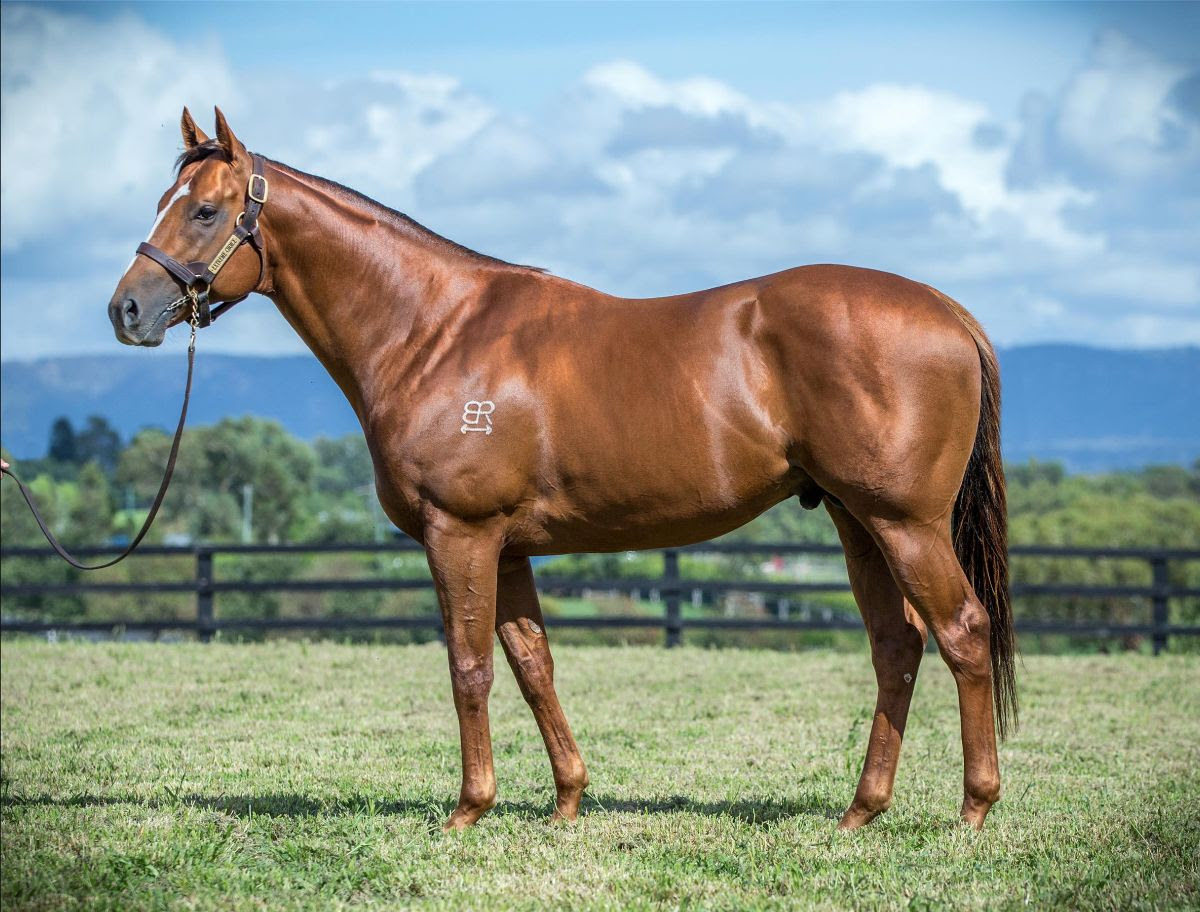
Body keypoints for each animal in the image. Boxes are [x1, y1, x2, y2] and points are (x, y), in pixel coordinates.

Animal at [108, 107, 1016, 832]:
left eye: (205, 209)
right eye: (162, 203)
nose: (127, 310)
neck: (433, 330)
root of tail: (949, 312)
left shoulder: (461, 536)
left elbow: (469, 668)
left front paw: (468, 811)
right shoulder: (507, 549)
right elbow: (532, 666)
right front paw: (568, 800)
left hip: (905, 524)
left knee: (962, 632)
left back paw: (972, 809)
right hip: (857, 522)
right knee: (897, 646)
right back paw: (861, 811)